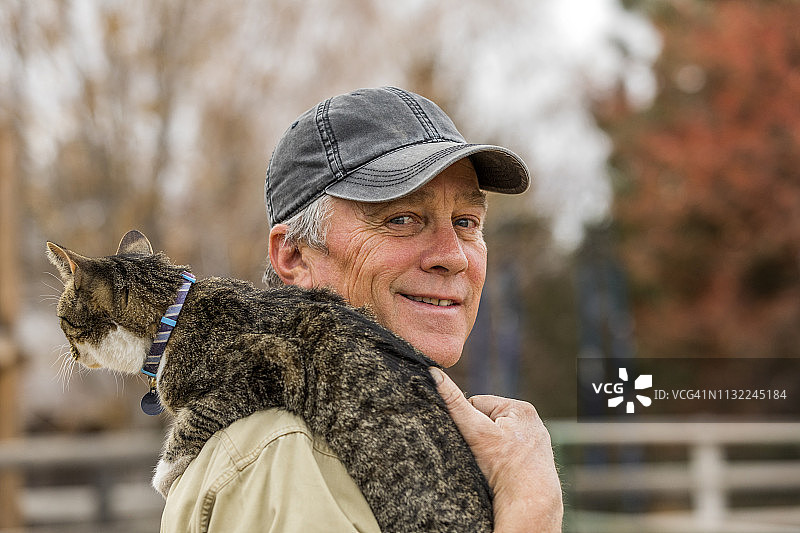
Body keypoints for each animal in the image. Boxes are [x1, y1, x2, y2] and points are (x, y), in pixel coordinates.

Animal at [47, 230, 493, 532]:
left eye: (63, 320)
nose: (69, 353)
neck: (173, 318)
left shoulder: (274, 360)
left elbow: (194, 419)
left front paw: (166, 473)